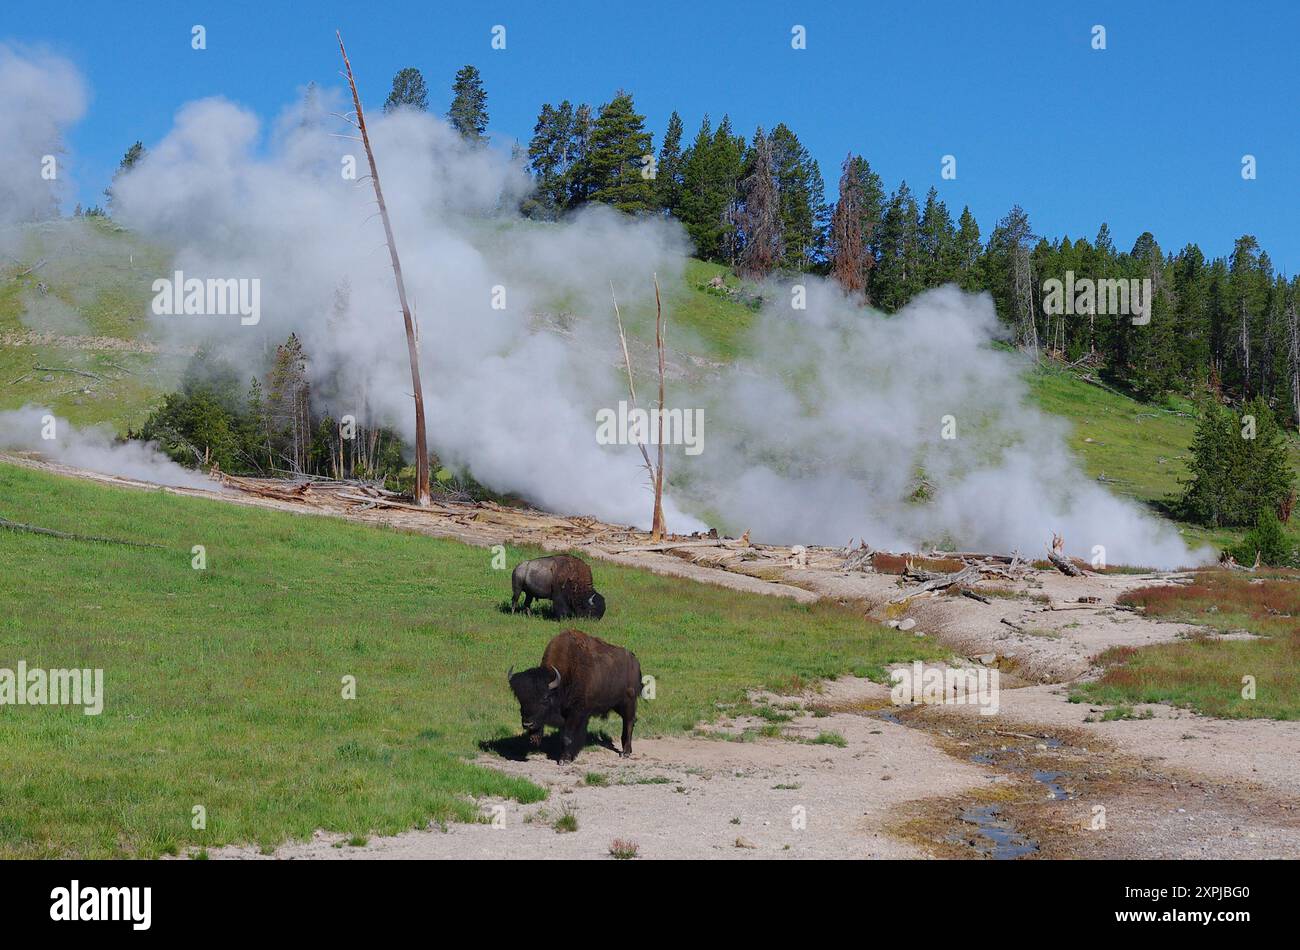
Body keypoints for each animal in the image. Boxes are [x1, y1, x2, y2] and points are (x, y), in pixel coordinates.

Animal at [512, 631, 644, 764]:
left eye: (545, 698)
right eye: (520, 699)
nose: (527, 724)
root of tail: (635, 661)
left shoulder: (575, 713)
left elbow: (567, 736)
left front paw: (564, 759)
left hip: (629, 702)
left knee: (629, 722)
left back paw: (625, 752)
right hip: (617, 704)